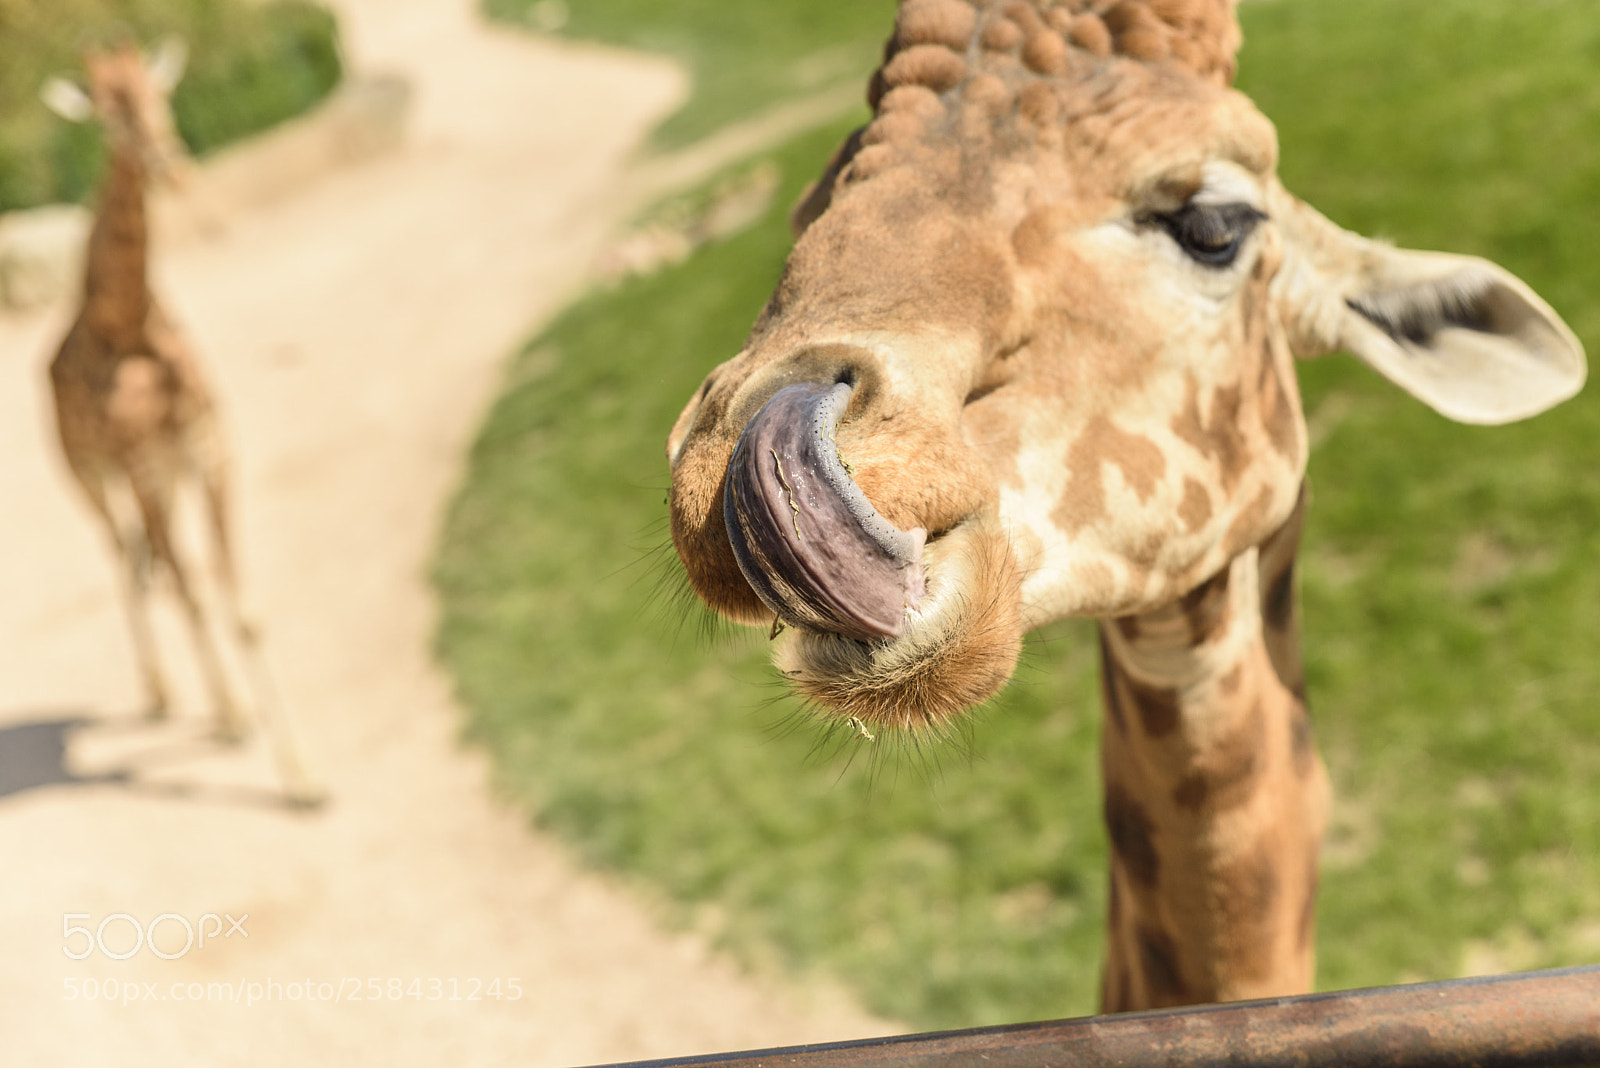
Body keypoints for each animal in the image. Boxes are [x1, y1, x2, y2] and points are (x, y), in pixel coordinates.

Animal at [41, 38, 323, 808]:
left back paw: (204, 705)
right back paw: (167, 695)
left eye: (159, 93)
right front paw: (242, 728)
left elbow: (238, 603)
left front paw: (304, 779)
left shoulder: (209, 450)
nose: (170, 161)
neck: (131, 325)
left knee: (155, 565)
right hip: (88, 475)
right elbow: (194, 589)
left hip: (160, 480)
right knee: (126, 558)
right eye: (106, 115)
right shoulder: (141, 463)